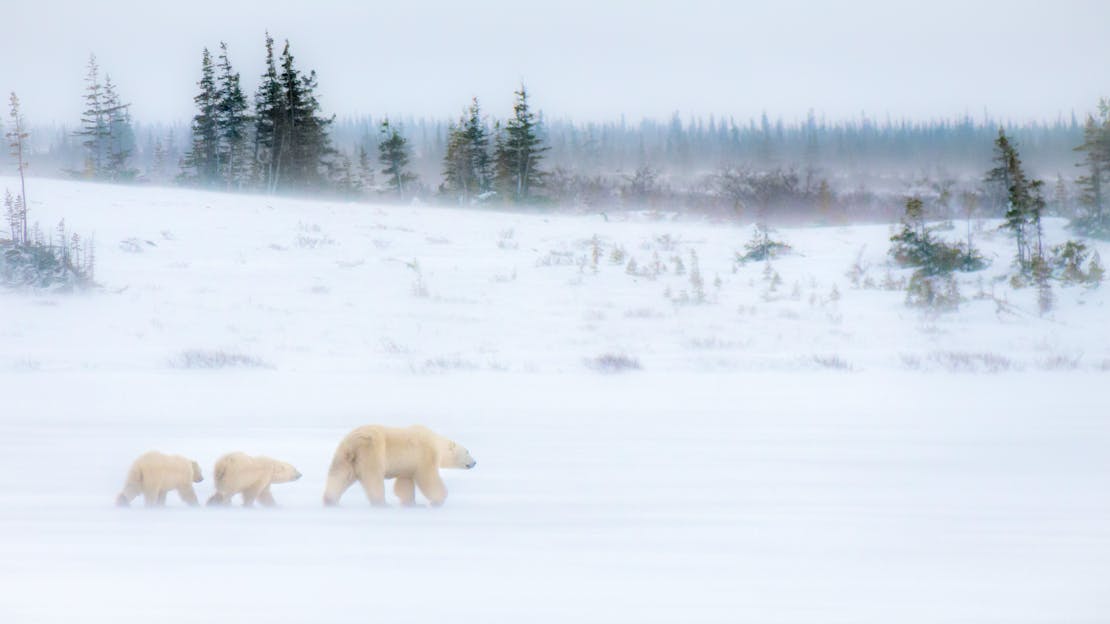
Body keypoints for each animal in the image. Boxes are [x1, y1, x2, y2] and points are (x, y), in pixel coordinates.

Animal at [324, 421, 475, 506]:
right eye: (467, 451)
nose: (475, 462)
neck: (436, 441)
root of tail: (354, 443)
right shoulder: (426, 454)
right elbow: (428, 478)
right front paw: (437, 501)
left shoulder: (408, 465)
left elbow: (404, 483)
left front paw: (411, 503)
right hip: (372, 451)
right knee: (373, 478)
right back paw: (382, 503)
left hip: (344, 455)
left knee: (339, 475)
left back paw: (330, 500)